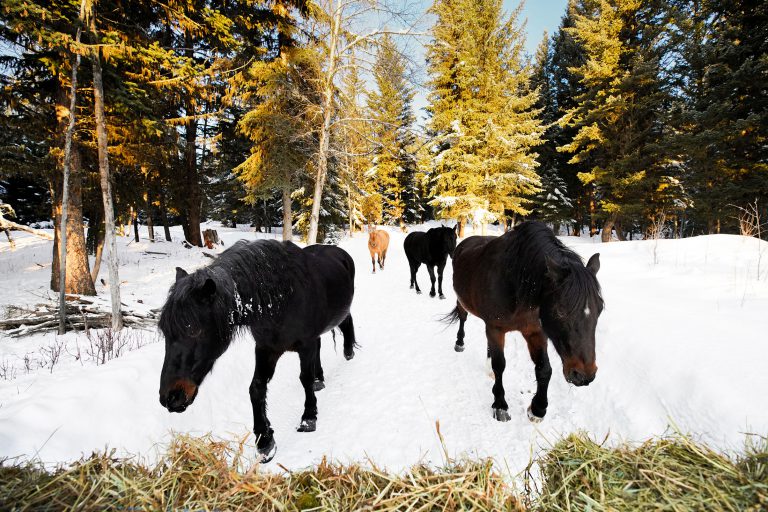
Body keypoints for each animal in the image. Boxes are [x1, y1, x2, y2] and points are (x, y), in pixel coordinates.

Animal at [158, 240, 360, 464]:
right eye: (164, 331)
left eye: (194, 331)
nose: (170, 397)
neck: (282, 299)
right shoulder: (266, 349)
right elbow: (256, 388)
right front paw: (265, 441)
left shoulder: (305, 345)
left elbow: (304, 379)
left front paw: (308, 418)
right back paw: (320, 378)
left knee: (346, 322)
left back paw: (348, 352)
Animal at [448, 222, 604, 422]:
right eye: (561, 310)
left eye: (600, 308)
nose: (584, 376)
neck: (514, 283)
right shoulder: (496, 328)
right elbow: (500, 365)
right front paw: (500, 405)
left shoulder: (535, 331)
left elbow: (544, 369)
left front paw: (538, 408)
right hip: (463, 303)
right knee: (462, 318)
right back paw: (459, 343)